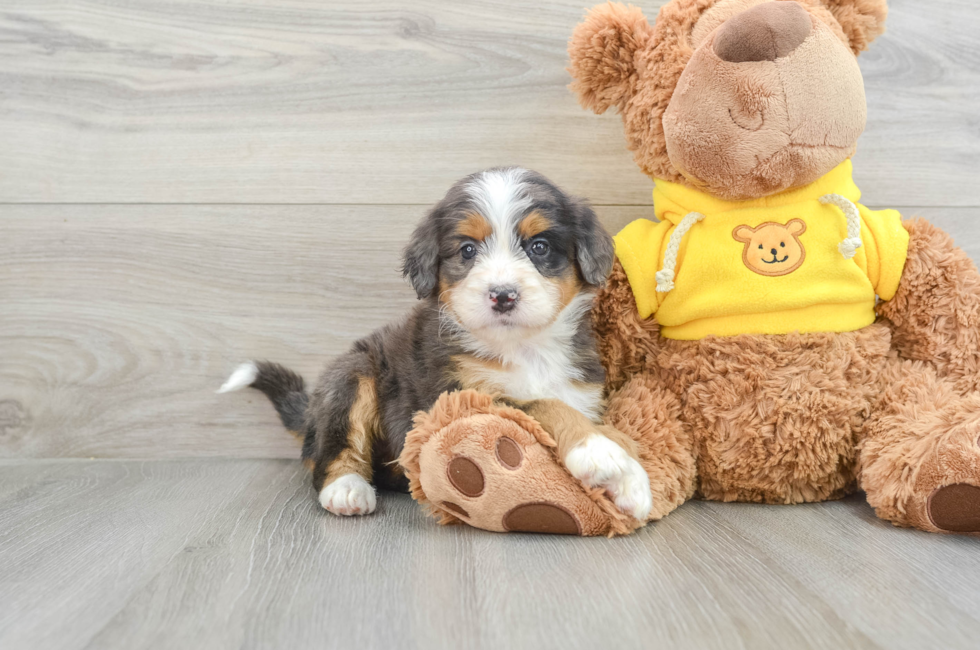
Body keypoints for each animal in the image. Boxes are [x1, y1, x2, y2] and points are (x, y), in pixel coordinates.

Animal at [221, 167, 652, 516]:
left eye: (539, 247)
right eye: (468, 250)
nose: (503, 295)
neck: (525, 349)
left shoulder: (582, 393)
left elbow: (605, 426)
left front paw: (631, 481)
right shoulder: (459, 400)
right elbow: (543, 405)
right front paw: (598, 453)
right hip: (352, 373)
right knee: (328, 452)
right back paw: (347, 489)